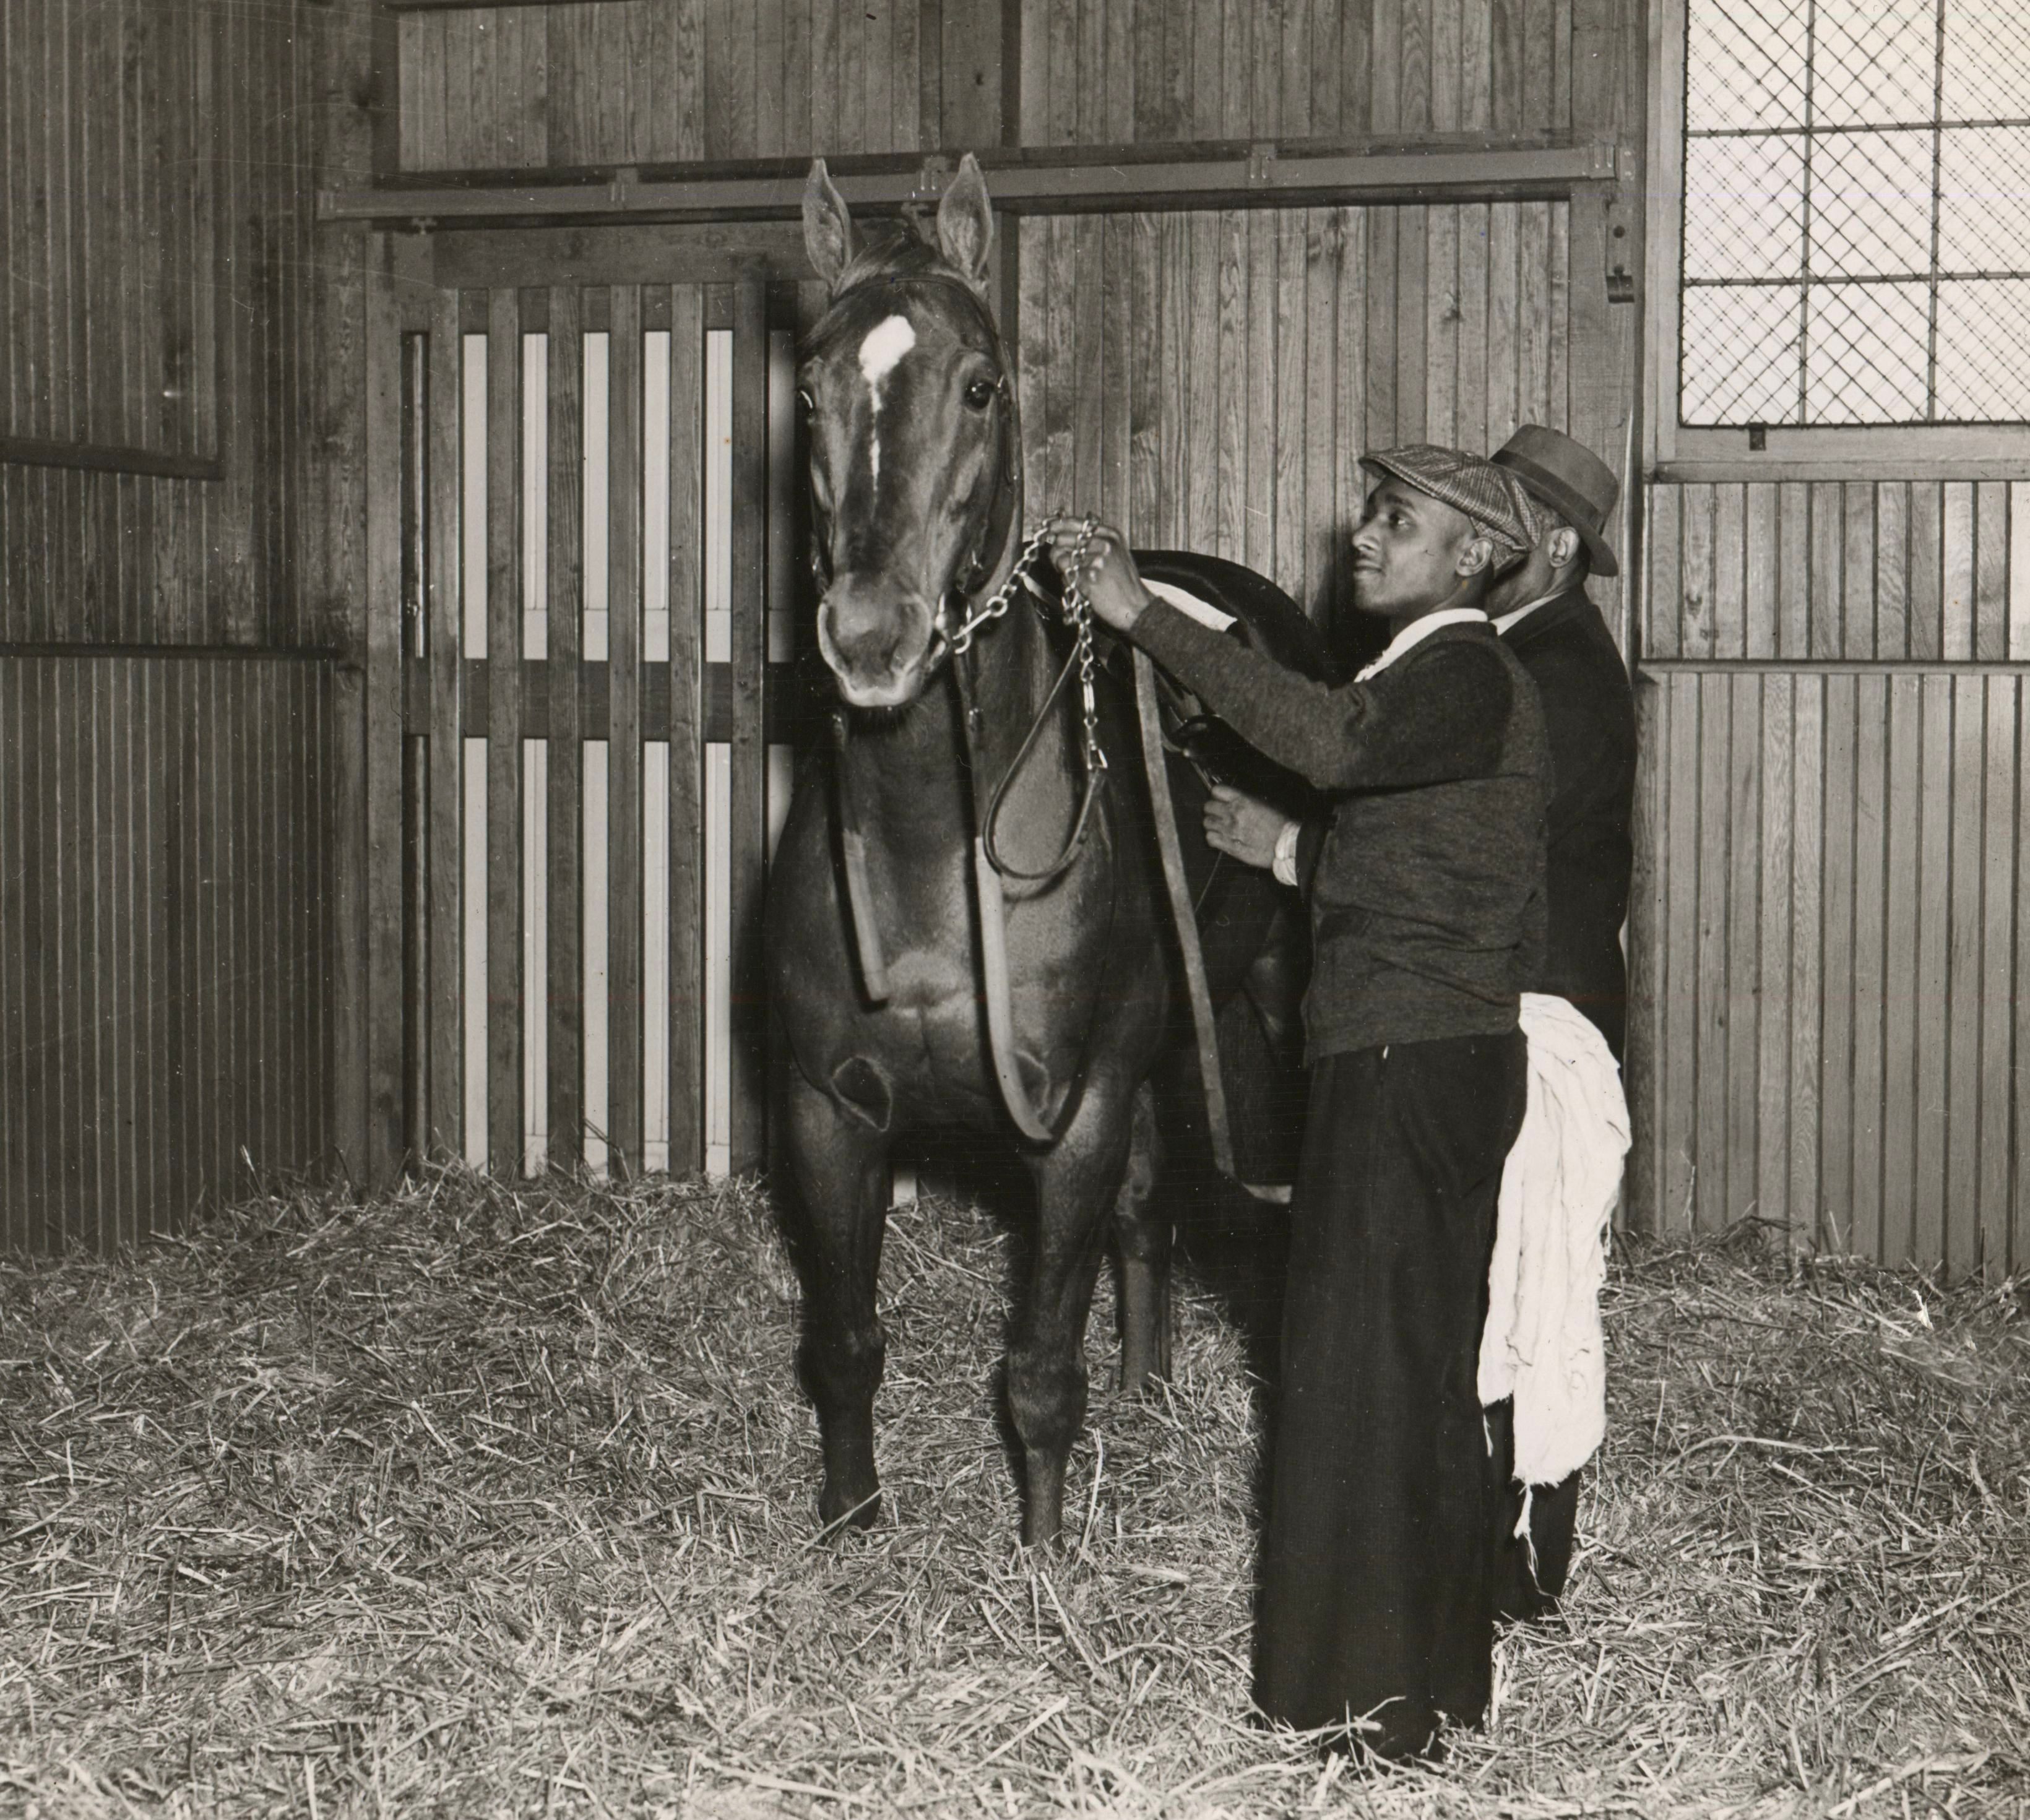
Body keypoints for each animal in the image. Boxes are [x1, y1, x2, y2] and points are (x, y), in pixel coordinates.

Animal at [767, 160, 1323, 1550]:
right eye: (806, 390)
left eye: (981, 386)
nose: (871, 635)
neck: (929, 860)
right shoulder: (826, 1114)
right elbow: (844, 1342)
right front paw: (849, 1524)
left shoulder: (1069, 1120)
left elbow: (1033, 1366)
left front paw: (1045, 1556)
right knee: (1146, 1205)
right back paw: (1146, 1383)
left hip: (1250, 1007)